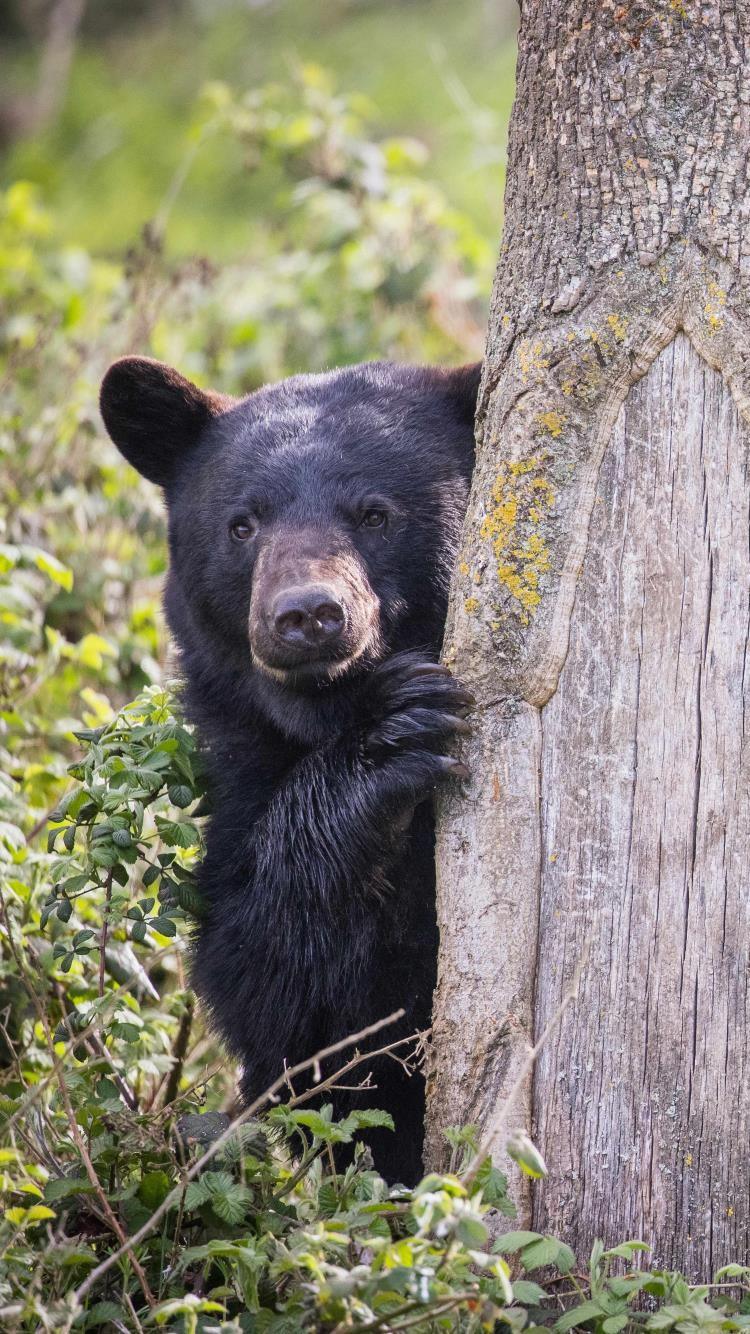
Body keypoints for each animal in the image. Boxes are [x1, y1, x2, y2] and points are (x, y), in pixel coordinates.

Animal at [99, 354, 475, 1179]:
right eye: (244, 523)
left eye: (375, 513)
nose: (306, 615)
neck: (321, 712)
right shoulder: (242, 783)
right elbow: (290, 1007)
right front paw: (387, 738)